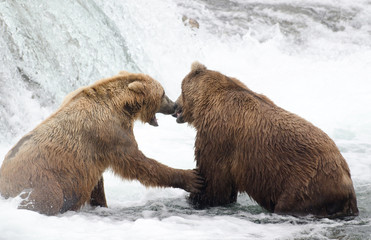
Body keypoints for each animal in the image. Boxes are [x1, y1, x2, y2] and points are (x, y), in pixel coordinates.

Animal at [0, 71, 203, 216]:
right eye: (163, 93)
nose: (174, 106)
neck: (122, 106)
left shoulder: (93, 156)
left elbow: (98, 182)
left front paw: (101, 204)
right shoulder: (110, 133)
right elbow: (138, 163)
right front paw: (191, 177)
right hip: (39, 178)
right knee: (49, 198)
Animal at [174, 62, 360, 219]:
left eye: (181, 90)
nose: (175, 106)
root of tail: (346, 180)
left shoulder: (218, 136)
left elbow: (214, 181)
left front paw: (196, 197)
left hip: (305, 184)